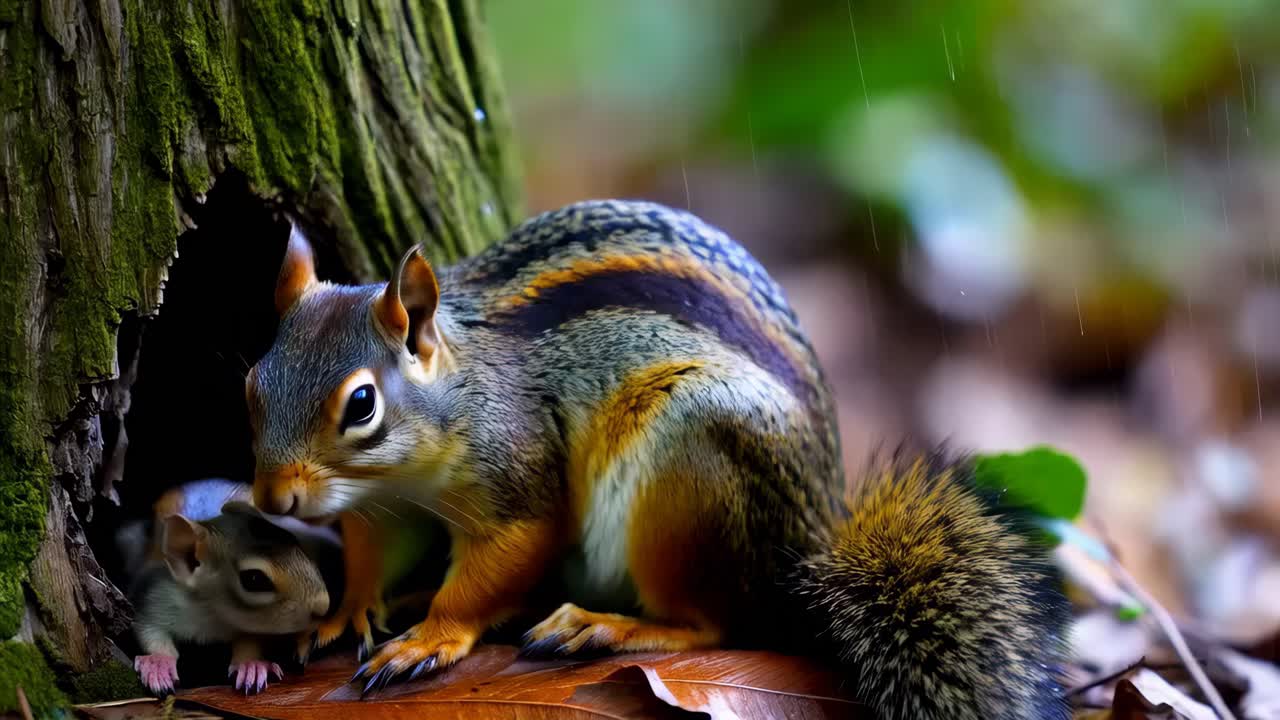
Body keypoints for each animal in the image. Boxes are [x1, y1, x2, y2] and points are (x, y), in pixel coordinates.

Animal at [126, 479, 343, 695]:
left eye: (295, 543)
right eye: (254, 579)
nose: (323, 606)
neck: (212, 613)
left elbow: (250, 642)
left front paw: (251, 666)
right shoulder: (156, 596)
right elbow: (149, 630)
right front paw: (158, 664)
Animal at [247, 200, 1071, 720]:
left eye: (361, 405)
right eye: (251, 382)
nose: (272, 500)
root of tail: (799, 557)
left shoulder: (518, 469)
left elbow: (509, 555)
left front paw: (430, 636)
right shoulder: (380, 508)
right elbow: (370, 555)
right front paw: (349, 611)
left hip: (688, 468)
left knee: (711, 623)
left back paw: (606, 627)